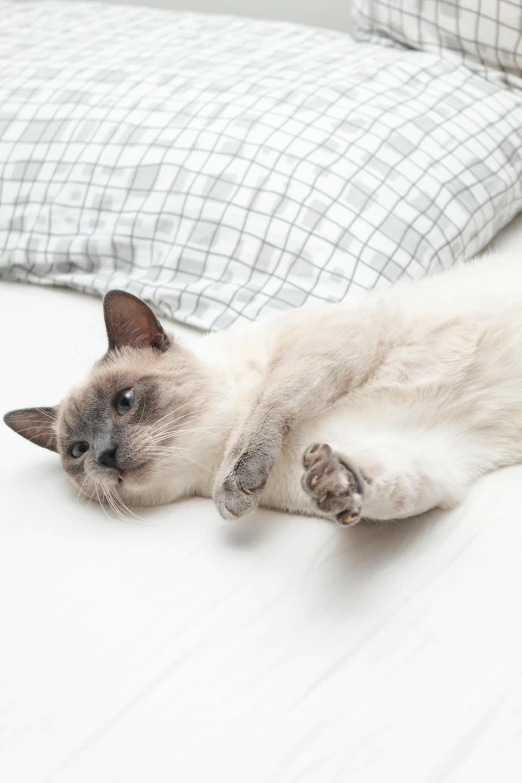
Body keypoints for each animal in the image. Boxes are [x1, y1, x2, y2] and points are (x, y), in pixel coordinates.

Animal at [3, 251, 520, 528]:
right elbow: (382, 487)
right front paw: (334, 483)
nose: (106, 456)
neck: (210, 459)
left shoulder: (333, 344)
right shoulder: (425, 455)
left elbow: (266, 409)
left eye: (124, 402)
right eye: (77, 450)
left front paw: (235, 486)